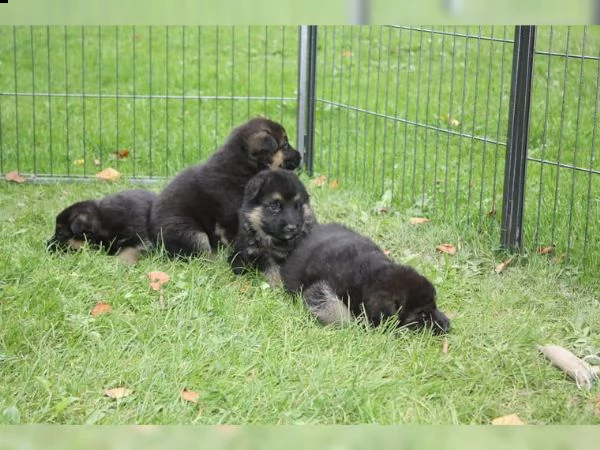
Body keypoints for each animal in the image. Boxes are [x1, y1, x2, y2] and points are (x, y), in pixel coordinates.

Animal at [280, 221, 450, 334]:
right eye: (422, 316)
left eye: (435, 306)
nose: (448, 326)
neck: (370, 278)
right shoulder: (320, 292)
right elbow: (339, 311)